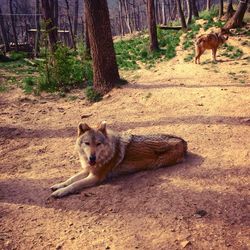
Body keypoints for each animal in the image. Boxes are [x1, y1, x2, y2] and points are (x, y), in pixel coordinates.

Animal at [50, 122, 188, 198]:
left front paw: (60, 192)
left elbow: (75, 184)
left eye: (98, 144)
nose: (92, 158)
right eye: (87, 143)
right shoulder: (88, 170)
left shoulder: (95, 177)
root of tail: (183, 140)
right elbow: (71, 179)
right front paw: (58, 185)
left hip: (158, 163)